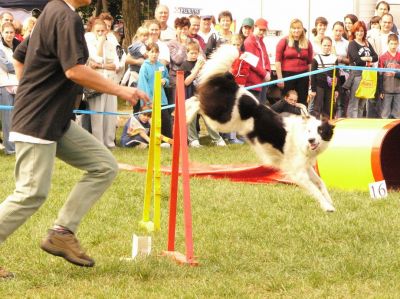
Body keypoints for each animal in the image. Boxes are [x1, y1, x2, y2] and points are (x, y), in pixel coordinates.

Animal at [186, 45, 336, 213]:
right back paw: (186, 115)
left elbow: (321, 183)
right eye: (309, 131)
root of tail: (233, 84)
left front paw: (330, 201)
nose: (311, 140)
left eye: (320, 131)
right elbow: (315, 189)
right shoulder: (297, 171)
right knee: (198, 103)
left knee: (195, 99)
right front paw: (327, 206)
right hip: (222, 120)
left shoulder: (306, 166)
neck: (301, 140)